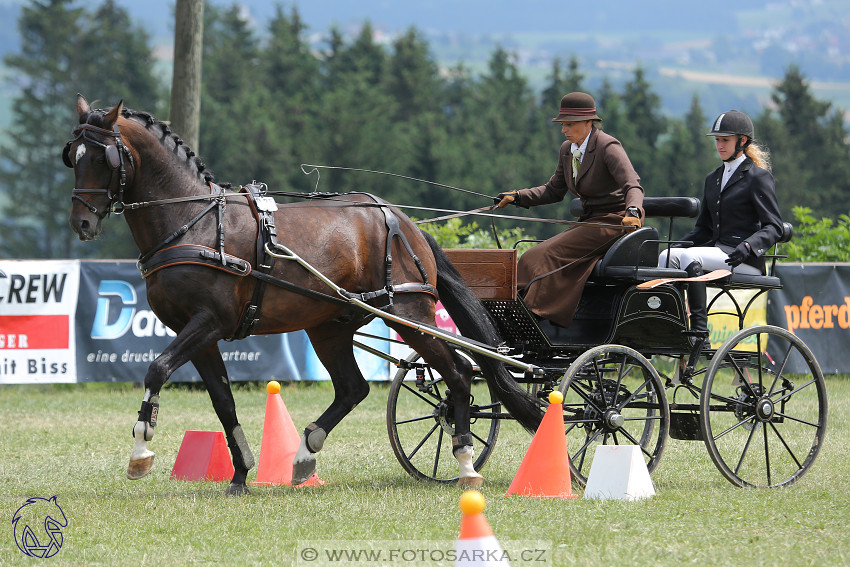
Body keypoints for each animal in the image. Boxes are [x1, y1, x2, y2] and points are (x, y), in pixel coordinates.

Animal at [66, 95, 544, 494]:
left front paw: (140, 450)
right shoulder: (196, 332)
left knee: (459, 373)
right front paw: (240, 473)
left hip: (411, 313)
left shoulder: (208, 322)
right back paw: (304, 453)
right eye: (73, 156)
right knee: (353, 388)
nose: (81, 224)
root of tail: (404, 222)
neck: (193, 223)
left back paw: (464, 462)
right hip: (330, 326)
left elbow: (157, 369)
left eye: (105, 158)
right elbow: (222, 400)